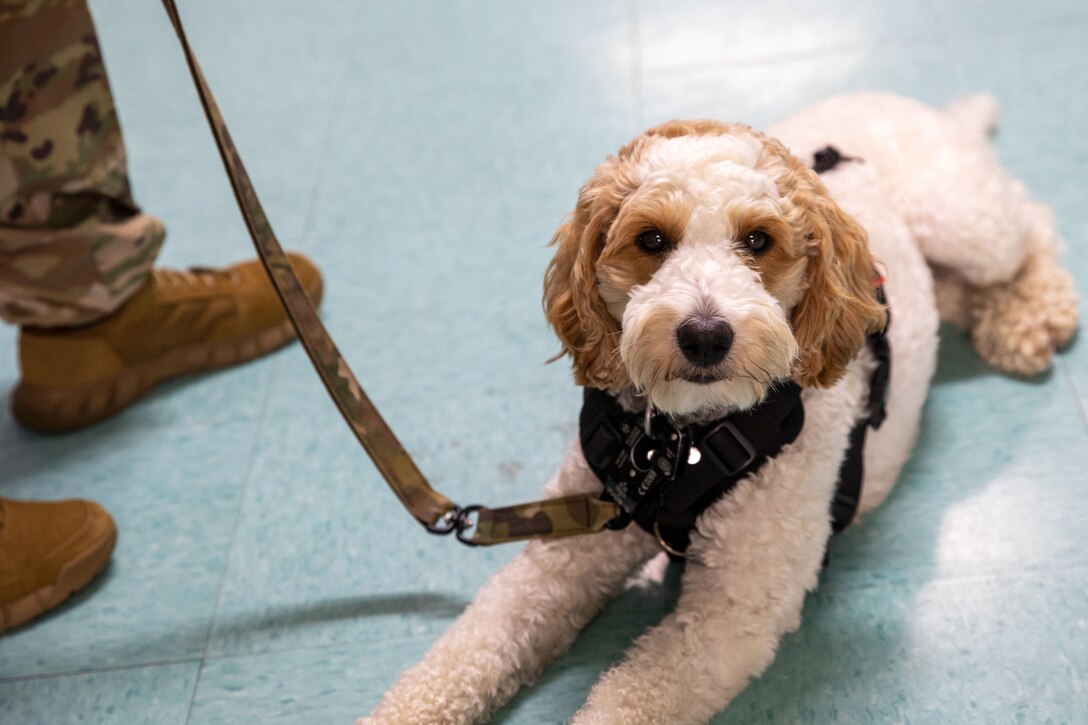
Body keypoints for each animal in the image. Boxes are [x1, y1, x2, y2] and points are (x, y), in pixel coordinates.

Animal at [361, 93, 1074, 718]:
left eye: (758, 241)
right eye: (651, 240)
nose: (705, 335)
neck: (676, 444)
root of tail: (926, 108)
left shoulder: (735, 607)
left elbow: (629, 700)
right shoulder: (562, 554)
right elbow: (467, 652)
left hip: (963, 221)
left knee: (1034, 219)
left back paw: (1033, 315)